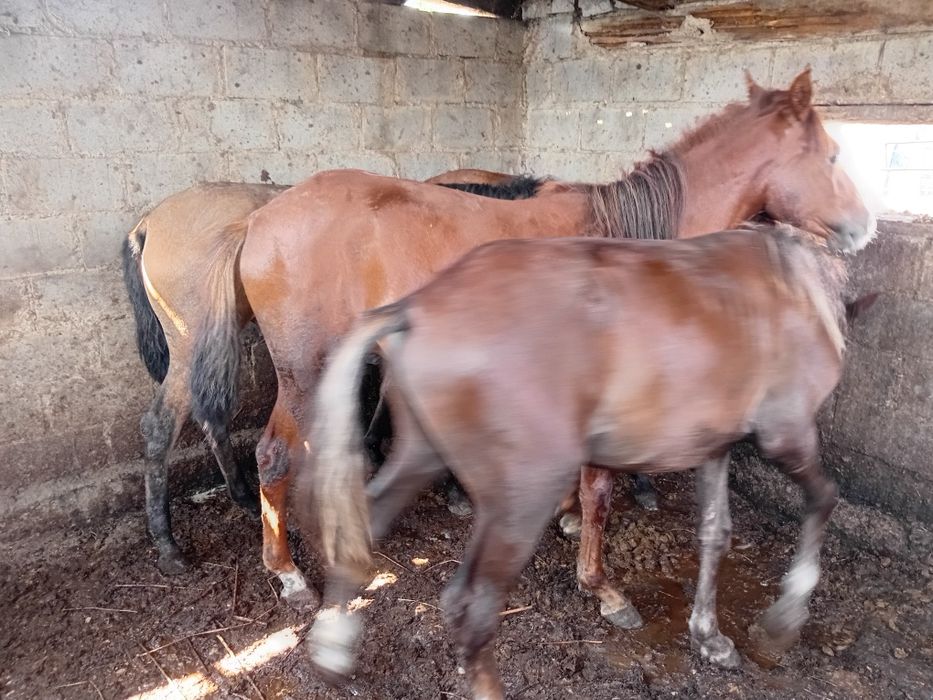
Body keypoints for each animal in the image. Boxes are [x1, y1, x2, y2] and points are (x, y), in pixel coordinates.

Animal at [121, 172, 549, 575]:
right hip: (193, 345)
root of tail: (148, 222)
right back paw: (169, 545)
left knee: (211, 417)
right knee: (161, 426)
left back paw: (243, 498)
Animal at [187, 68, 872, 611]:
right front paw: (602, 586)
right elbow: (599, 490)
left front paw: (565, 519)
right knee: (275, 456)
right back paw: (288, 574)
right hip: (306, 368)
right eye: (833, 155)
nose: (863, 228)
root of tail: (259, 219)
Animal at [306, 220, 872, 699]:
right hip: (525, 492)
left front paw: (709, 637)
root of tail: (418, 307)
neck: (795, 283)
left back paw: (332, 647)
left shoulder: (714, 445)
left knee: (367, 521)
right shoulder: (786, 432)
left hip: (422, 453)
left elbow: (716, 534)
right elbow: (824, 498)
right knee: (471, 607)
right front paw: (783, 620)